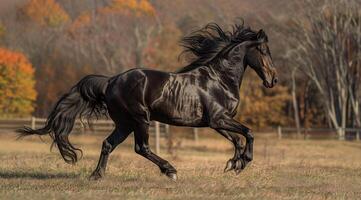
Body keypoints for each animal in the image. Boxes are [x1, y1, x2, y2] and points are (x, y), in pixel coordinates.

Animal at [17, 22, 276, 180]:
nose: (273, 80)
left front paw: (234, 164)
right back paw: (170, 170)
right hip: (140, 120)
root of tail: (111, 81)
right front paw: (243, 162)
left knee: (108, 144)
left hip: (125, 123)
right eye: (263, 51)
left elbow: (237, 140)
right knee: (141, 147)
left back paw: (97, 175)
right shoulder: (218, 119)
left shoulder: (217, 122)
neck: (219, 79)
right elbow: (248, 133)